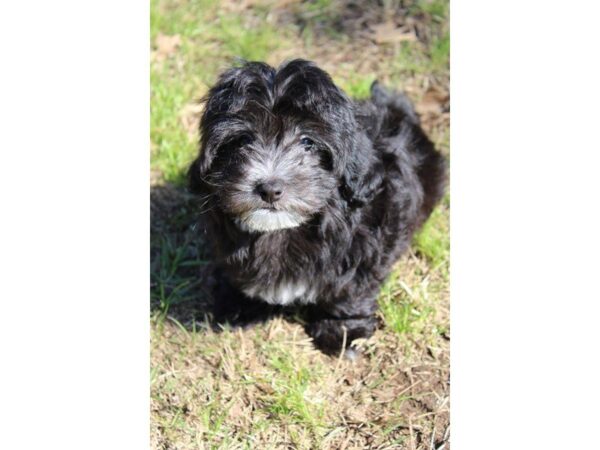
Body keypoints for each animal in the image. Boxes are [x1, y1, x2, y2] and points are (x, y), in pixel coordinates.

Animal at [188, 59, 446, 356]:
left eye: (308, 142)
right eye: (241, 141)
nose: (270, 189)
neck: (282, 231)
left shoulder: (368, 245)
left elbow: (351, 289)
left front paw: (343, 332)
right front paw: (240, 305)